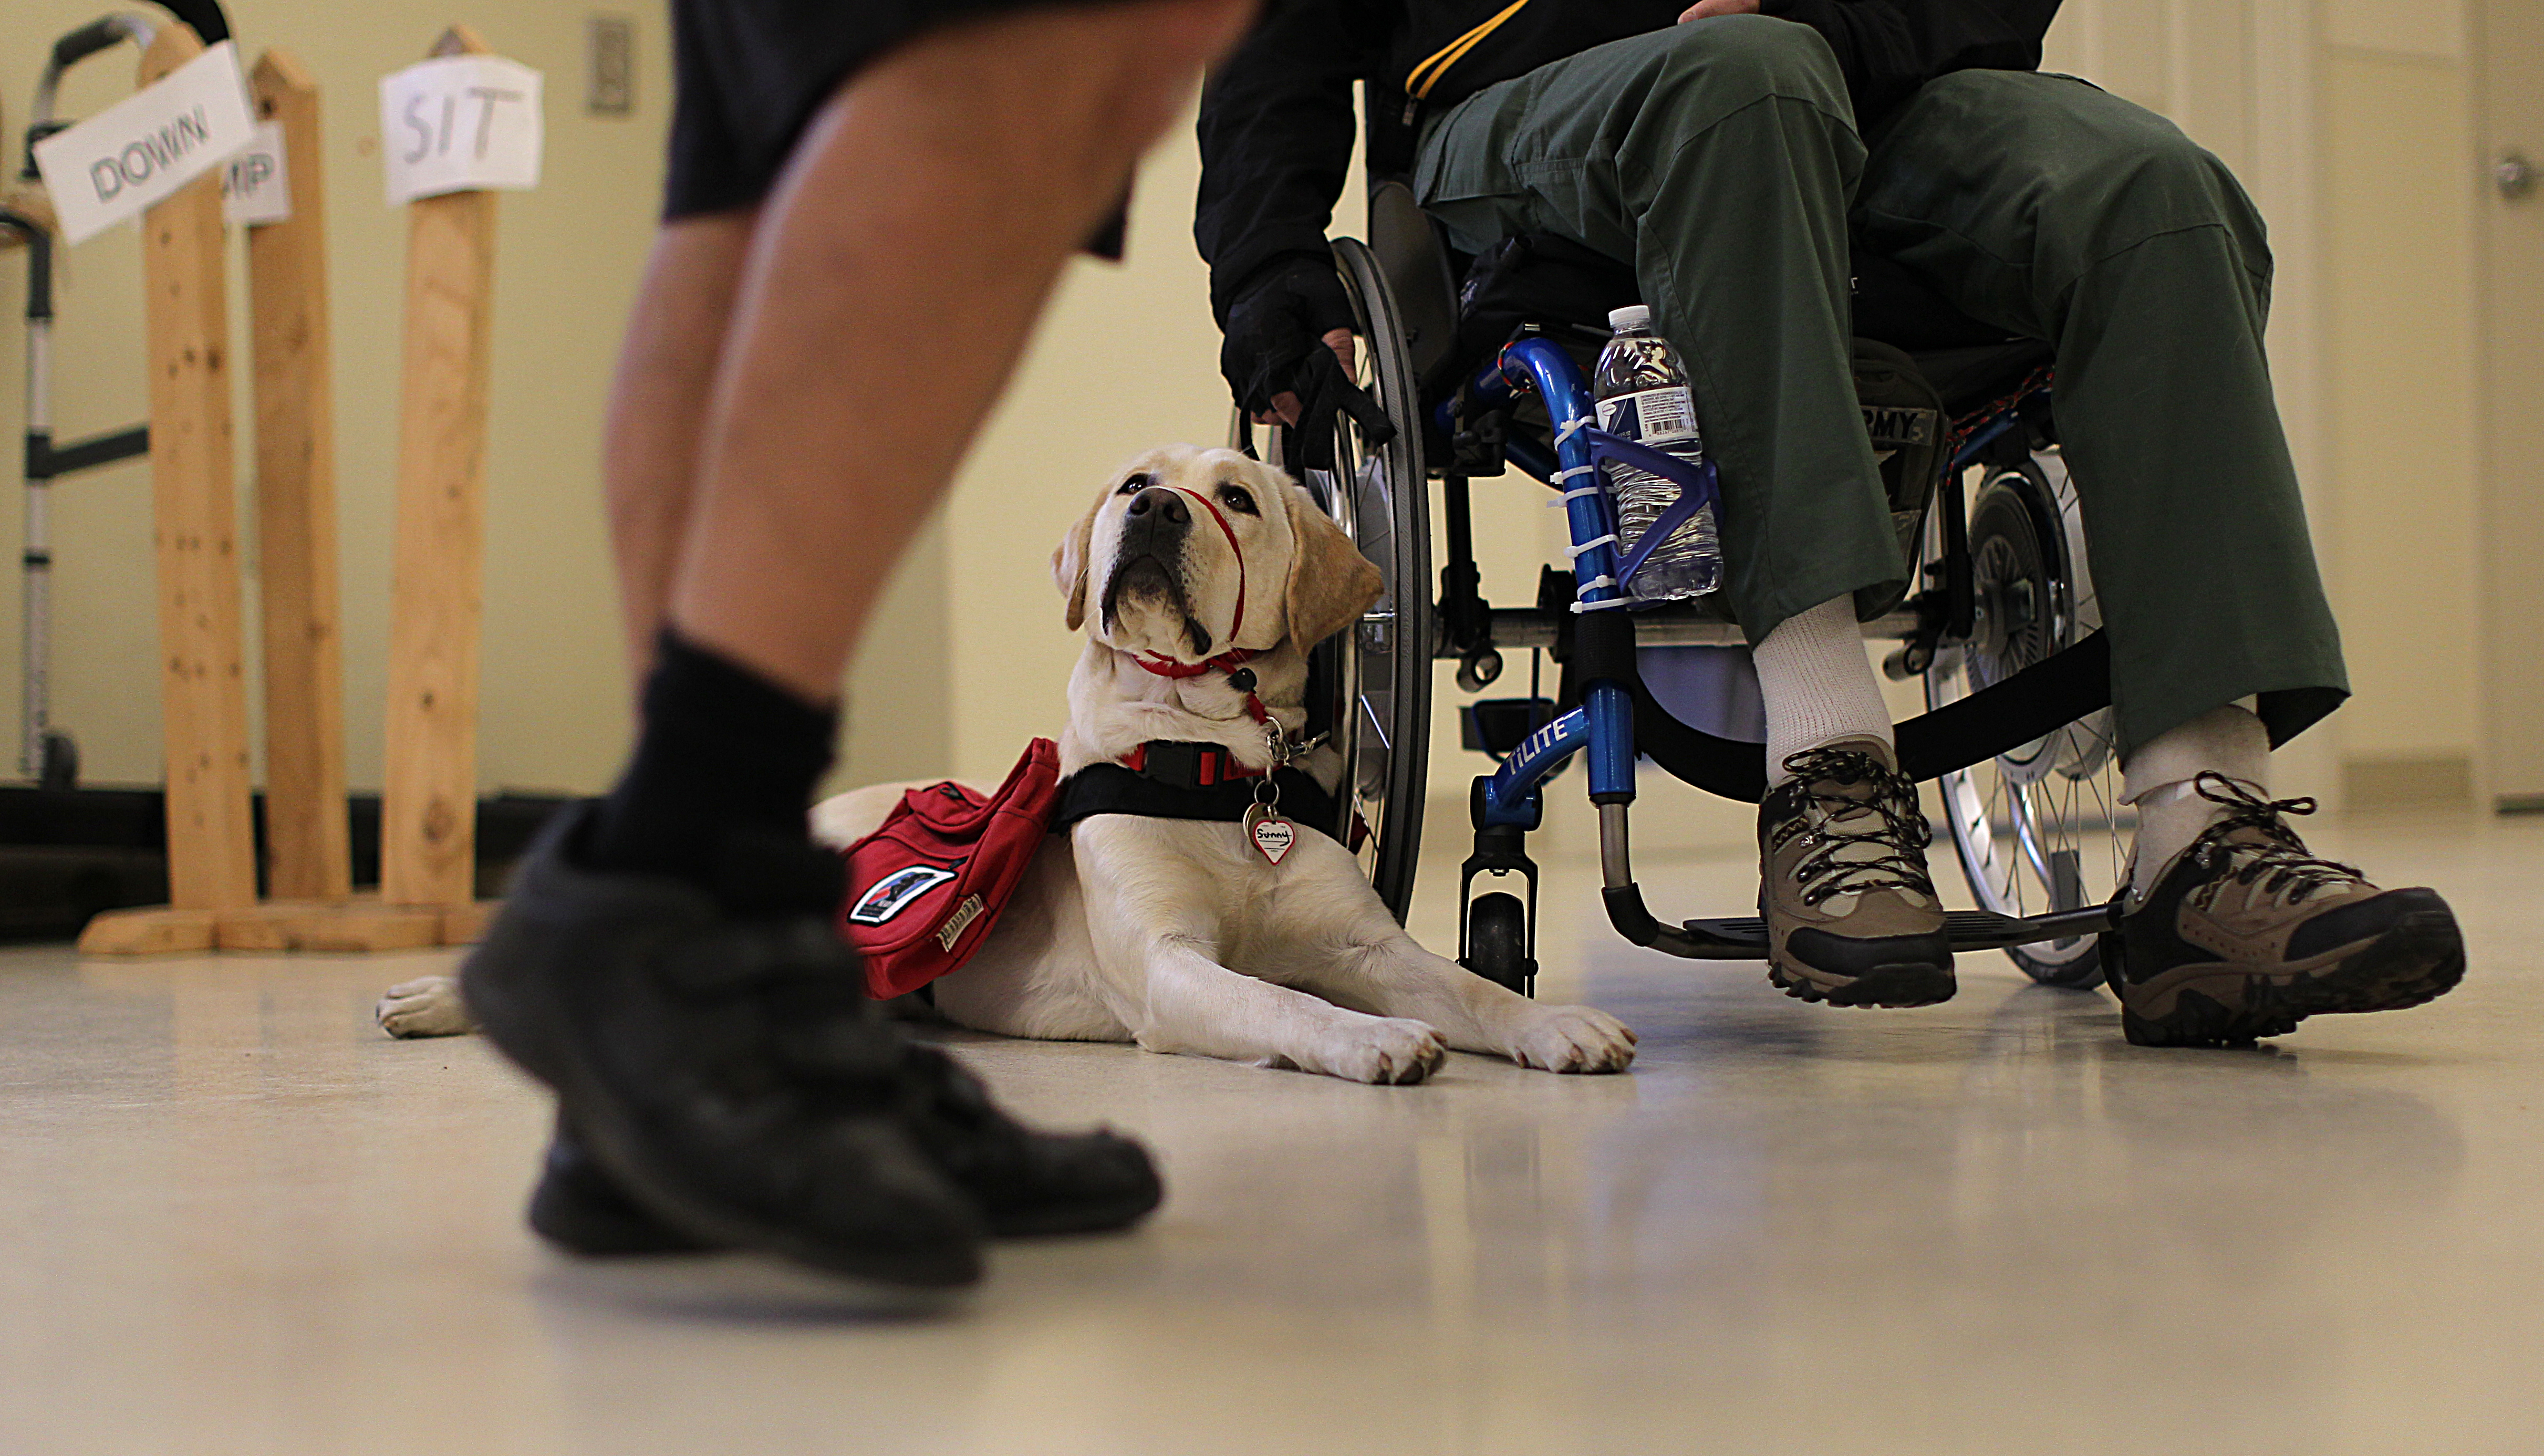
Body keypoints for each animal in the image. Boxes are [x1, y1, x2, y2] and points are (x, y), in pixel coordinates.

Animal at [387, 450, 1638, 1084]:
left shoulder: (1366, 945)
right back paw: (435, 997)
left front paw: (1557, 1024)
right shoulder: (1171, 970)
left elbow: (1469, 986)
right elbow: (1279, 1000)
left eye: (1238, 495)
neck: (1213, 769)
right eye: (1134, 480)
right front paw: (1370, 1038)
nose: (1156, 506)